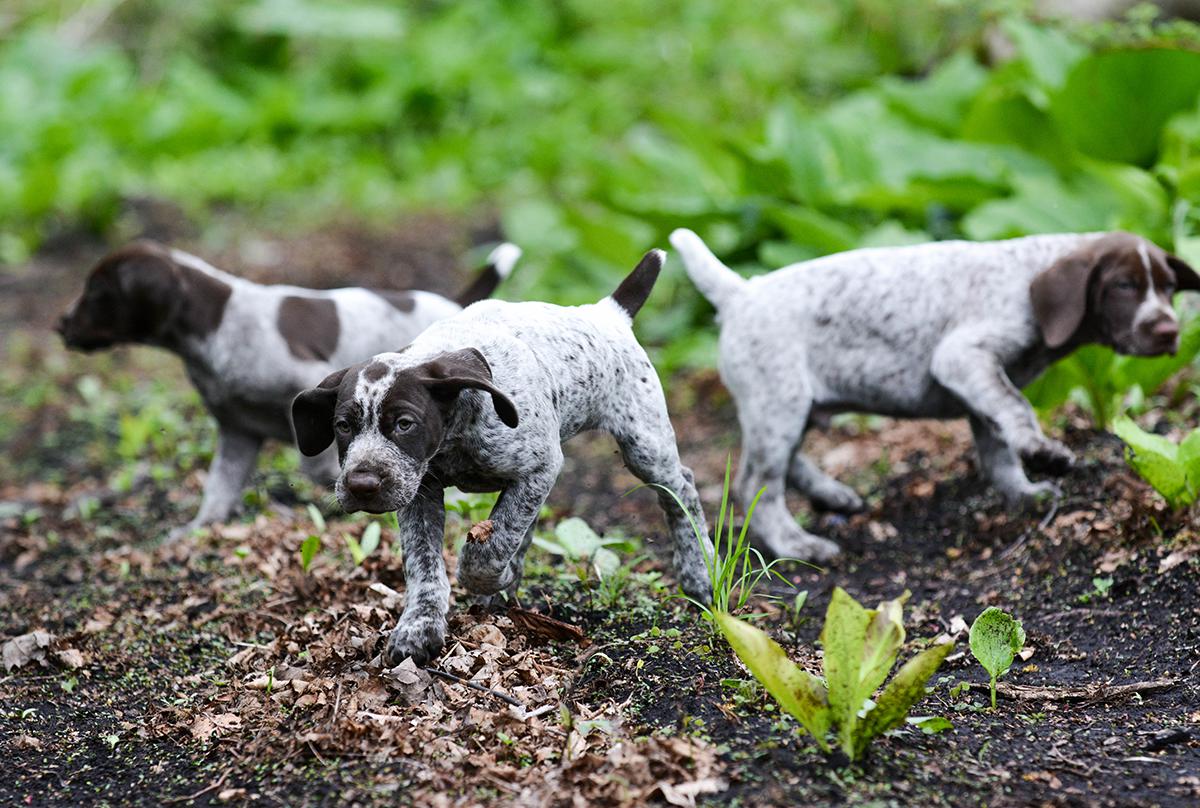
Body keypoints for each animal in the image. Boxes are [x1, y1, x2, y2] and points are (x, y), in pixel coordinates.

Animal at [57, 241, 520, 542]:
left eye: (98, 293)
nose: (60, 324)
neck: (218, 324)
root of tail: (454, 305)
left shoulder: (310, 383)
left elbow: (315, 462)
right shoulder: (237, 433)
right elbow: (218, 489)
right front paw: (197, 530)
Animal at [294, 248, 710, 662]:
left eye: (404, 424)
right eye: (343, 426)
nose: (361, 485)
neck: (458, 431)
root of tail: (608, 312)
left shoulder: (538, 469)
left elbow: (490, 547)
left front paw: (489, 576)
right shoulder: (420, 490)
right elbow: (424, 563)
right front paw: (419, 627)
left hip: (645, 445)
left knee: (682, 491)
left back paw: (699, 574)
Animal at [672, 228, 1195, 561]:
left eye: (1170, 287)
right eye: (1124, 286)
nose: (1170, 331)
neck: (1029, 277)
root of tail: (741, 293)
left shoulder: (980, 384)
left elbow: (999, 448)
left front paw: (1024, 494)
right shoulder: (962, 357)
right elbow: (1017, 409)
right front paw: (1042, 452)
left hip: (790, 404)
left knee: (784, 465)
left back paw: (832, 495)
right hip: (779, 400)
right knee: (756, 484)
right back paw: (797, 545)